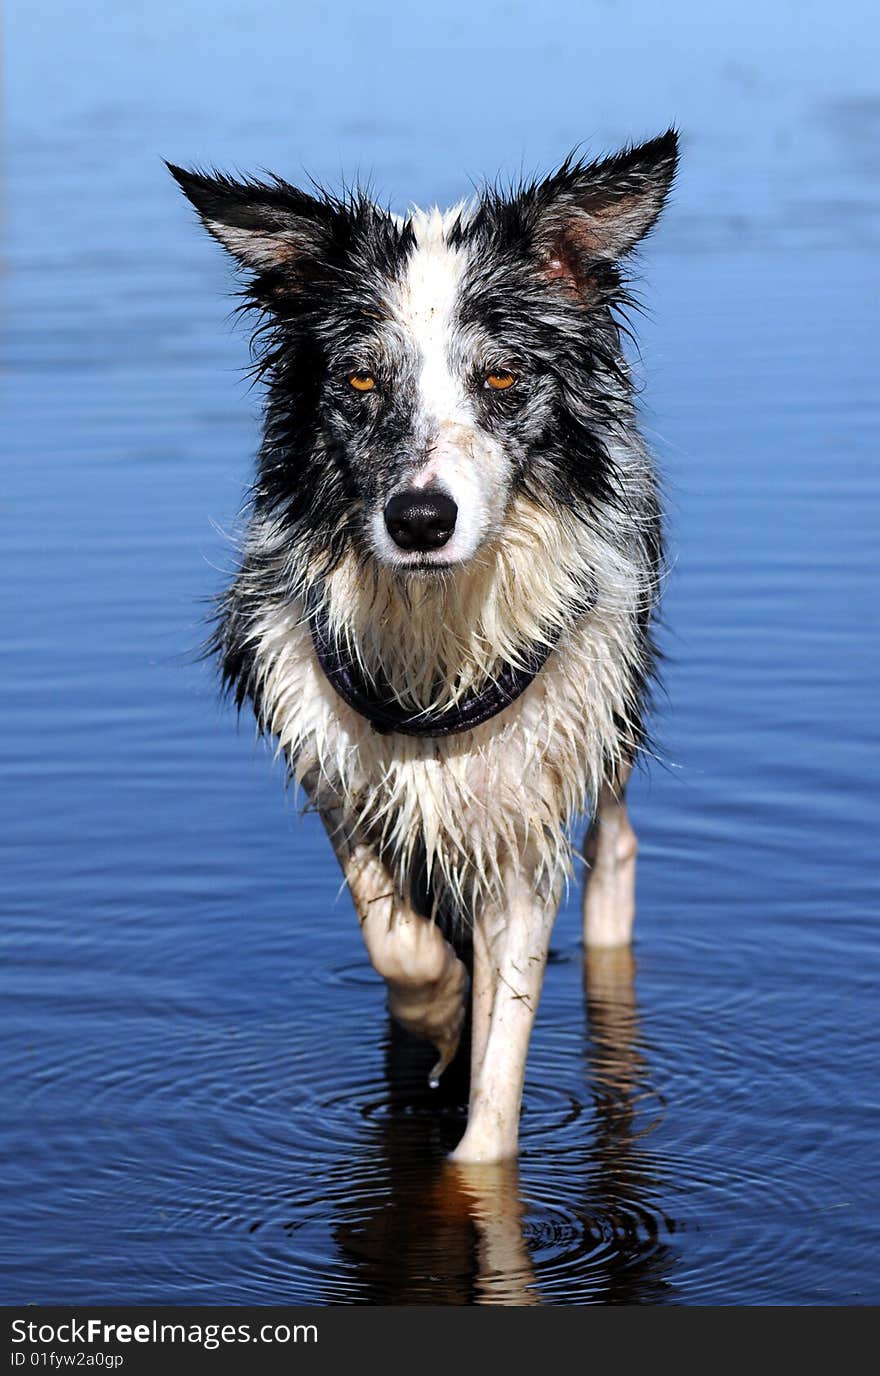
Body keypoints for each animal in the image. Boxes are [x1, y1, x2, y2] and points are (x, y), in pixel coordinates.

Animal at [168, 131, 676, 1161]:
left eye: (503, 380)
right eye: (361, 382)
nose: (419, 519)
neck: (437, 622)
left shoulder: (525, 797)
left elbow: (500, 1072)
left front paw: (474, 1161)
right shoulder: (337, 753)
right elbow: (398, 944)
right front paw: (436, 1010)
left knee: (618, 840)